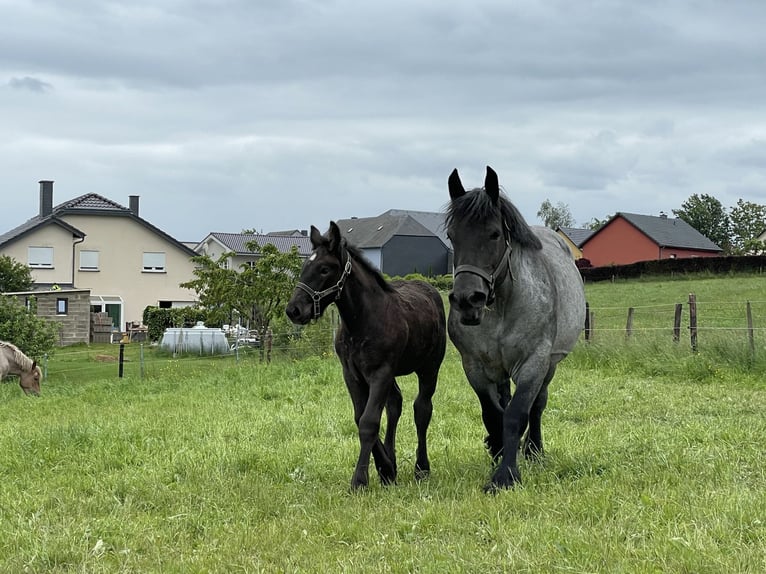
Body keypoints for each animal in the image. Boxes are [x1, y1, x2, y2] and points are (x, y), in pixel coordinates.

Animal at [284, 223, 448, 492]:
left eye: (324, 269)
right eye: (305, 266)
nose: (294, 310)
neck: (362, 321)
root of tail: (430, 290)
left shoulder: (380, 373)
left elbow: (369, 421)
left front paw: (360, 480)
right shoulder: (352, 374)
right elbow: (360, 417)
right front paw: (386, 470)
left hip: (429, 368)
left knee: (422, 409)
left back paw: (421, 468)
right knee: (395, 405)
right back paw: (392, 462)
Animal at [448, 166, 584, 496]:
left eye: (494, 234)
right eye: (451, 236)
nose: (467, 300)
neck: (502, 307)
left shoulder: (534, 362)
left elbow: (517, 414)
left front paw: (506, 475)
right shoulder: (475, 366)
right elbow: (493, 414)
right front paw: (497, 453)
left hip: (549, 365)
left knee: (538, 406)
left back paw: (534, 450)